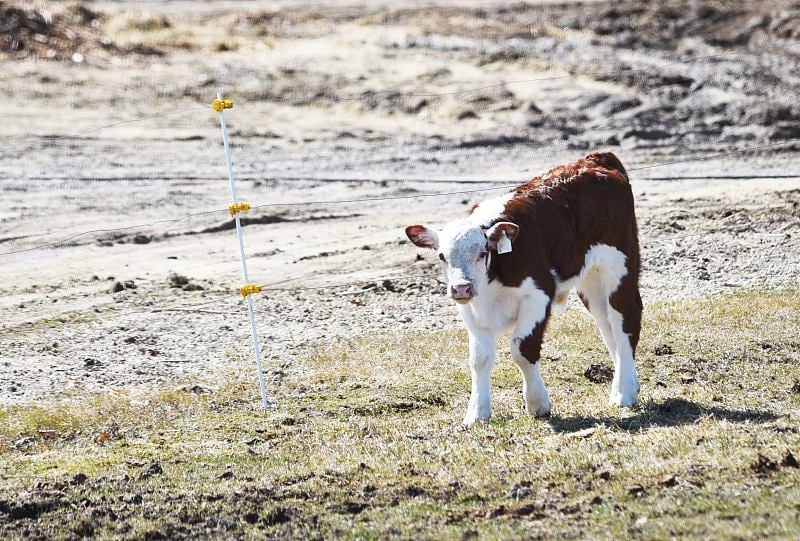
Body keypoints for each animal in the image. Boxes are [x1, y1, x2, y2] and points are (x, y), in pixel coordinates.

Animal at [410, 150, 640, 424]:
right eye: (442, 256)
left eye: (482, 253)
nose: (461, 288)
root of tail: (596, 159)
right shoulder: (471, 308)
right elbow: (479, 358)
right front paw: (477, 412)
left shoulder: (539, 294)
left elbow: (522, 348)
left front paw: (537, 403)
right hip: (591, 281)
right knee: (607, 326)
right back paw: (627, 383)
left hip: (620, 266)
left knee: (624, 321)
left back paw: (624, 393)